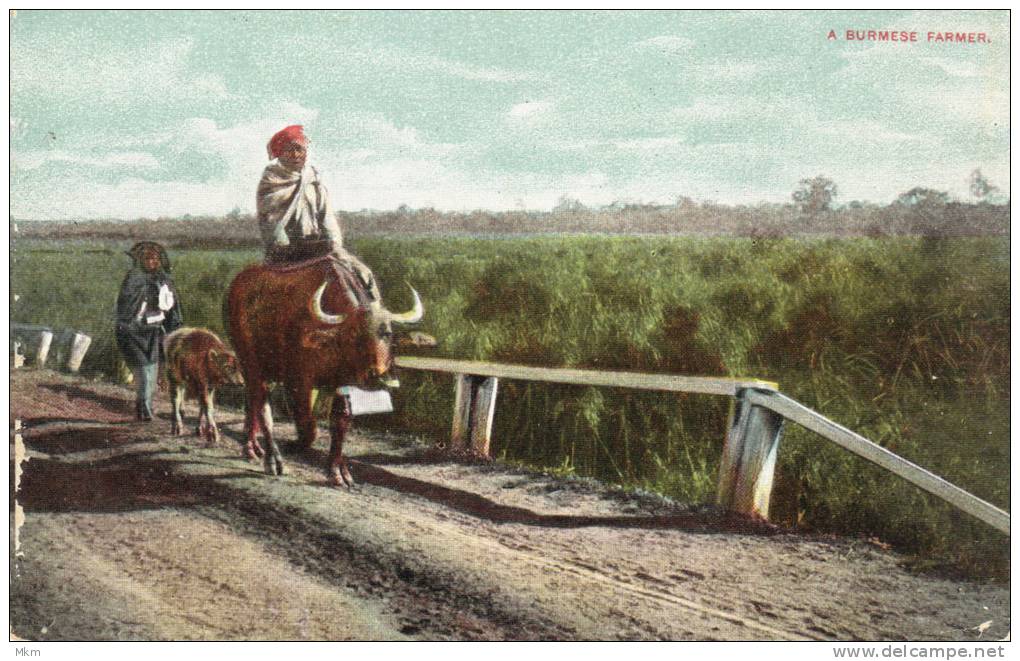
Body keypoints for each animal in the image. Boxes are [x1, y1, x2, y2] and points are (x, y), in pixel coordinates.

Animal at [226, 257, 422, 485]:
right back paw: (271, 459)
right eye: (353, 334)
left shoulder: (342, 382)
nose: (378, 376)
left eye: (387, 332)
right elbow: (308, 423)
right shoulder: (300, 381)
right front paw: (296, 446)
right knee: (262, 405)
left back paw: (253, 448)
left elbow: (341, 421)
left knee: (252, 401)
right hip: (250, 360)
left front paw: (338, 472)